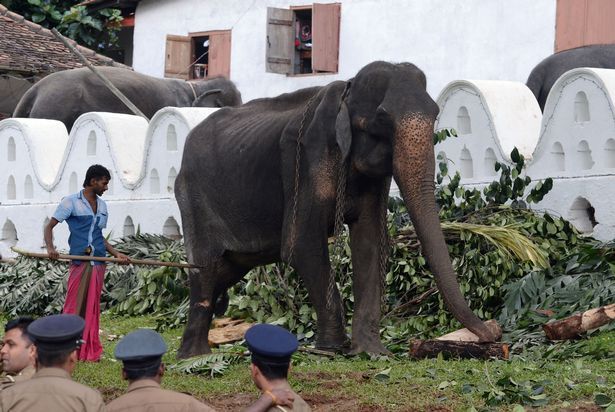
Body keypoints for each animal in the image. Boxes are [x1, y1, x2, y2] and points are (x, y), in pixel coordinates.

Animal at [174, 60, 496, 358]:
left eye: (435, 114)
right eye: (382, 118)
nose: (491, 335)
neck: (347, 90)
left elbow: (370, 244)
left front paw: (372, 352)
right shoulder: (306, 160)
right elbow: (300, 245)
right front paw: (330, 348)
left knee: (226, 269)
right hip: (193, 199)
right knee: (205, 269)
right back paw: (194, 357)